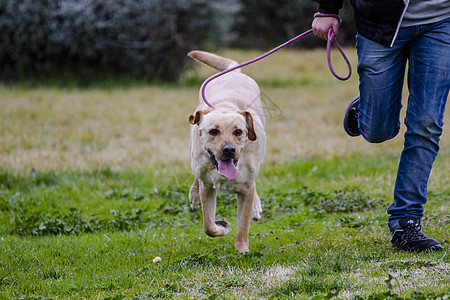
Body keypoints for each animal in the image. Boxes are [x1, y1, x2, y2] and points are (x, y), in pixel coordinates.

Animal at [188, 50, 266, 252]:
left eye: (238, 132)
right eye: (213, 131)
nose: (229, 150)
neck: (226, 106)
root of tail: (234, 72)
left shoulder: (246, 189)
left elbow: (243, 225)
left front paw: (242, 250)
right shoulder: (207, 187)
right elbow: (208, 225)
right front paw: (222, 226)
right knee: (196, 176)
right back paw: (193, 194)